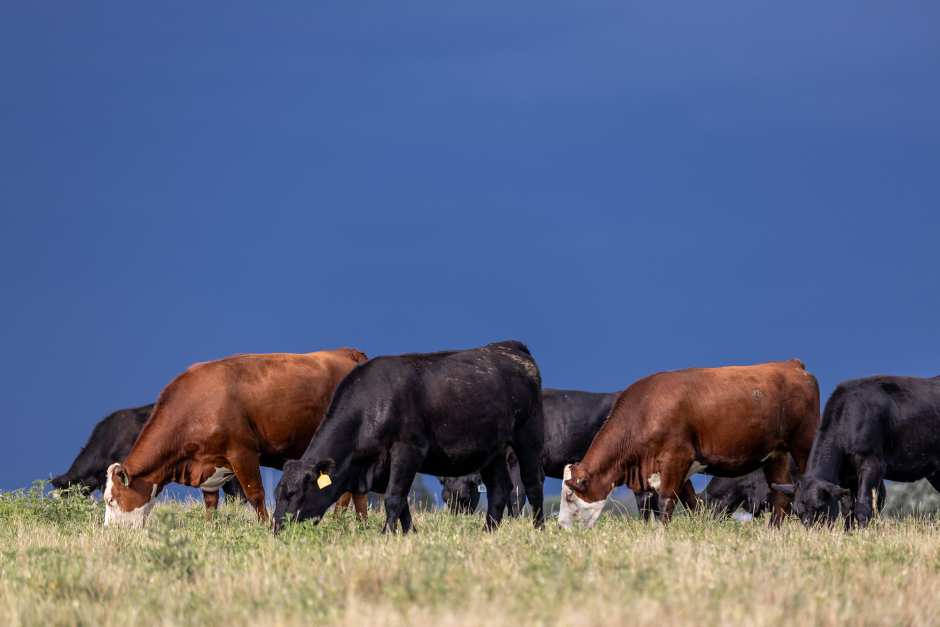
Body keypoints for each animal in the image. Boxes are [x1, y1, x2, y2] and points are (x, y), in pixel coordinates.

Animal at [102, 348, 370, 528]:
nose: (109, 532)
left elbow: (255, 494)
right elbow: (210, 504)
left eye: (111, 500)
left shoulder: (242, 451)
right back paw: (355, 526)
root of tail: (348, 352)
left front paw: (265, 528)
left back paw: (338, 524)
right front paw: (210, 530)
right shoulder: (208, 464)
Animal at [272, 340, 545, 534]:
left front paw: (386, 535)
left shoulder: (408, 450)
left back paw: (538, 528)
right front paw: (408, 534)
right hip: (493, 449)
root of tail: (509, 346)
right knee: (500, 488)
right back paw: (488, 532)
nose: (276, 531)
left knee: (532, 483)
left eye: (292, 494)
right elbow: (402, 502)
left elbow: (394, 498)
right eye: (277, 494)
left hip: (529, 435)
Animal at [559, 359, 820, 529]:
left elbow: (666, 502)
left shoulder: (675, 459)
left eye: (569, 495)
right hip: (776, 453)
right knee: (781, 492)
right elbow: (692, 503)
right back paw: (772, 532)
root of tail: (791, 364)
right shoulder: (677, 468)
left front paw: (661, 534)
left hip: (804, 443)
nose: (560, 527)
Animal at [772, 375, 939, 528]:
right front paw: (850, 532)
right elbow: (848, 509)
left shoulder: (872, 466)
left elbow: (862, 507)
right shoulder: (846, 476)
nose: (811, 532)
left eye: (821, 506)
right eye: (797, 511)